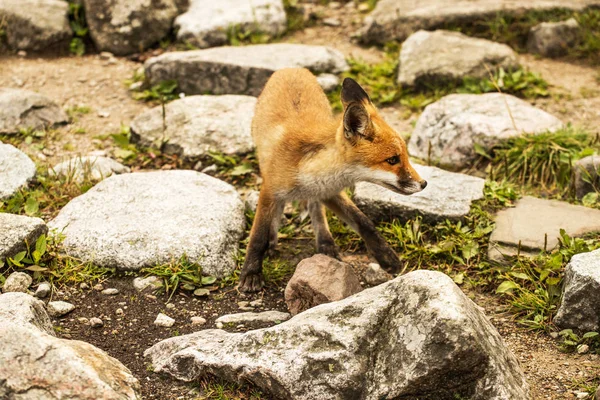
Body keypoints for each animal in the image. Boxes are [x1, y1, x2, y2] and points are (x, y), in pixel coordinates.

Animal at [239, 69, 426, 292]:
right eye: (392, 160)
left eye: (404, 155)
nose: (423, 183)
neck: (309, 169)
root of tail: (291, 69)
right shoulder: (270, 189)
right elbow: (257, 236)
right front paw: (251, 273)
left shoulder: (328, 190)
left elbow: (364, 222)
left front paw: (386, 257)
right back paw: (275, 239)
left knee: (315, 209)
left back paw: (325, 243)